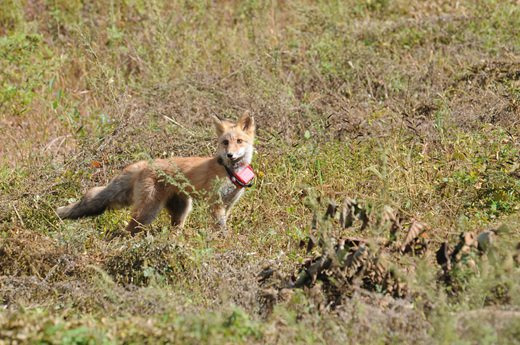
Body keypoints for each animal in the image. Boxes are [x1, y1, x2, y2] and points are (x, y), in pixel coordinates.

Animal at [57, 111, 256, 235]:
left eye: (239, 141)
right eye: (225, 142)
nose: (229, 155)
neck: (229, 172)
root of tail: (144, 163)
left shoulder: (228, 204)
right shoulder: (215, 203)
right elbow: (221, 230)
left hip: (181, 210)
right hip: (149, 211)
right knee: (128, 230)